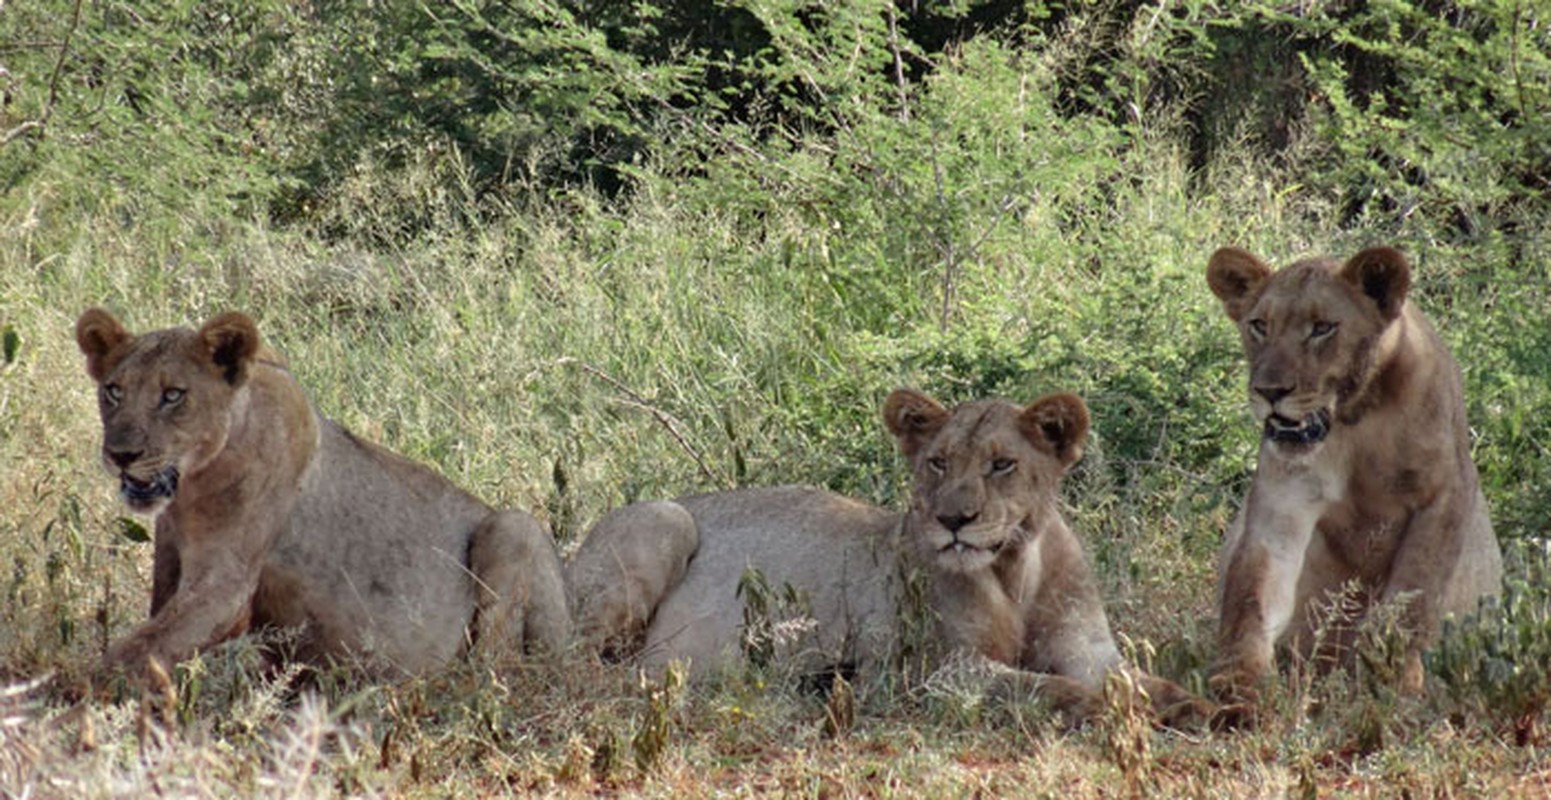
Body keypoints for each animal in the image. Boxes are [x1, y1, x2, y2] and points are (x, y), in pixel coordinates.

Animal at [74, 310, 570, 685]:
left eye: (173, 395)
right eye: (114, 391)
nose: (120, 455)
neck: (194, 486)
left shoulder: (225, 588)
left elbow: (133, 651)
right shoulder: (171, 568)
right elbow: (149, 640)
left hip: (513, 528)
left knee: (498, 671)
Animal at [567, 387, 1209, 725]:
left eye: (1002, 465)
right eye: (938, 463)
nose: (954, 520)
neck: (1014, 569)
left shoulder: (1090, 651)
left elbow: (1146, 683)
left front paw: (1210, 708)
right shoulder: (926, 670)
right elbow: (1042, 687)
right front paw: (1106, 708)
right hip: (662, 522)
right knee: (574, 662)